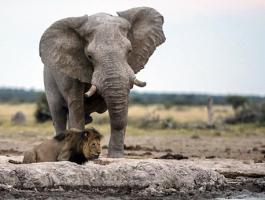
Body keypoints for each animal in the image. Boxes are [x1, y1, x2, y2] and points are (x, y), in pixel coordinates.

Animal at [39, 6, 165, 158]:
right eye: (89, 56)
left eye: (129, 51)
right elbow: (76, 107)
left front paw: (116, 157)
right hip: (49, 79)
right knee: (58, 114)